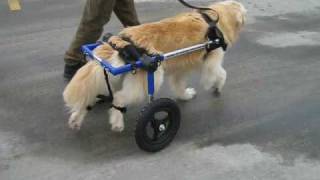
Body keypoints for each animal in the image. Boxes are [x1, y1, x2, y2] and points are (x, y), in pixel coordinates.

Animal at [63, 0, 248, 131]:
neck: (214, 19)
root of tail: (123, 41)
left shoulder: (180, 70)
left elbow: (179, 85)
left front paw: (185, 95)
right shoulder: (212, 60)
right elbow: (220, 74)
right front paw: (216, 87)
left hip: (110, 77)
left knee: (90, 97)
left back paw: (76, 119)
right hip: (148, 80)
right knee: (119, 98)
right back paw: (117, 123)